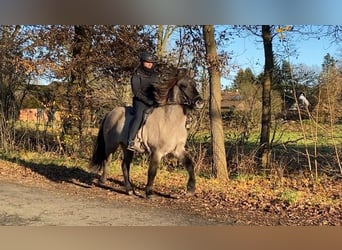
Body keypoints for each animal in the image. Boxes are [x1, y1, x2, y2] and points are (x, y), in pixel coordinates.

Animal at [90, 67, 203, 198]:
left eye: (194, 84)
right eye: (183, 86)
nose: (199, 102)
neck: (170, 121)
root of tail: (111, 112)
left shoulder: (177, 150)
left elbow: (190, 164)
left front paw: (190, 189)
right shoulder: (156, 152)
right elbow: (152, 172)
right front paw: (149, 193)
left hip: (126, 148)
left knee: (124, 165)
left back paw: (129, 189)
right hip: (111, 144)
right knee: (106, 159)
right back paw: (102, 181)